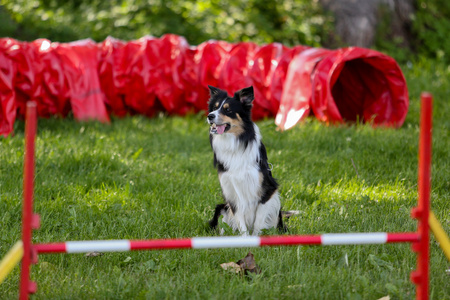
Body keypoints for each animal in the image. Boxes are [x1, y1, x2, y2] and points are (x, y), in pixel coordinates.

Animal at [207, 85, 284, 236]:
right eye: (214, 107)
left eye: (228, 109)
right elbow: (241, 223)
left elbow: (258, 222)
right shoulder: (232, 193)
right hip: (222, 208)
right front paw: (245, 238)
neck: (234, 143)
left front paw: (255, 238)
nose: (210, 116)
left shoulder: (267, 191)